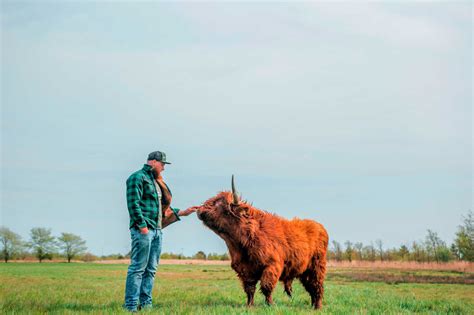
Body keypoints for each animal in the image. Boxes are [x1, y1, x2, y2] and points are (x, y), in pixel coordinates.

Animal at [196, 177, 330, 310]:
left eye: (219, 204)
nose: (199, 210)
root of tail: (320, 227)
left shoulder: (271, 265)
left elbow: (266, 287)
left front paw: (270, 304)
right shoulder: (245, 270)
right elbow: (250, 289)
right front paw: (249, 306)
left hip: (317, 267)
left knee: (317, 286)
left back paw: (318, 307)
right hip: (304, 271)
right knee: (311, 288)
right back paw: (312, 306)